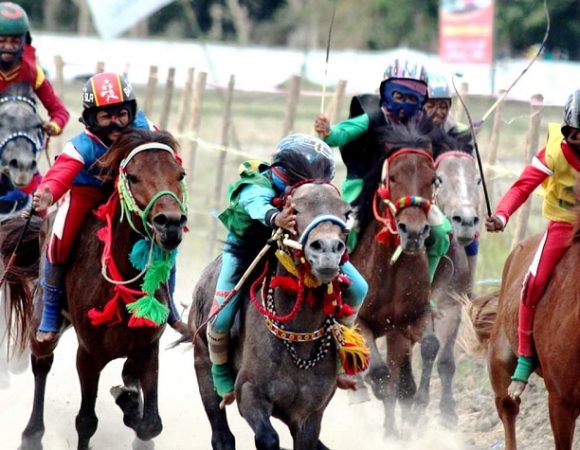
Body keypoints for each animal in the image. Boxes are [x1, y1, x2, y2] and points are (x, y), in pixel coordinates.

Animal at [0, 128, 188, 448]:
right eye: (133, 177)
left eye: (180, 174)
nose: (171, 223)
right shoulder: (88, 355)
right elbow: (86, 421)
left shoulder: (148, 348)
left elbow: (151, 424)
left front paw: (130, 405)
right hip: (44, 324)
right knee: (41, 363)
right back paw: (32, 435)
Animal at [348, 121, 440, 434]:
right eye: (393, 177)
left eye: (432, 179)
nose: (413, 232)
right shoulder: (360, 321)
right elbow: (379, 372)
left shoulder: (410, 319)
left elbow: (430, 346)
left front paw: (417, 410)